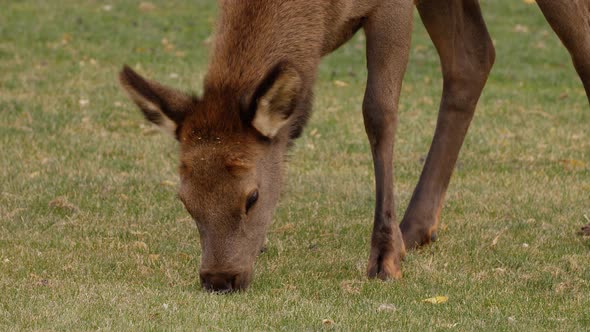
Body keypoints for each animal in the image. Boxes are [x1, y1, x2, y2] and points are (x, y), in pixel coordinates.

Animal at [120, 0, 590, 290]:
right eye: (184, 199)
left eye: (252, 196)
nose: (220, 279)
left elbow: (378, 113)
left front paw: (384, 258)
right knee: (472, 55)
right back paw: (415, 227)